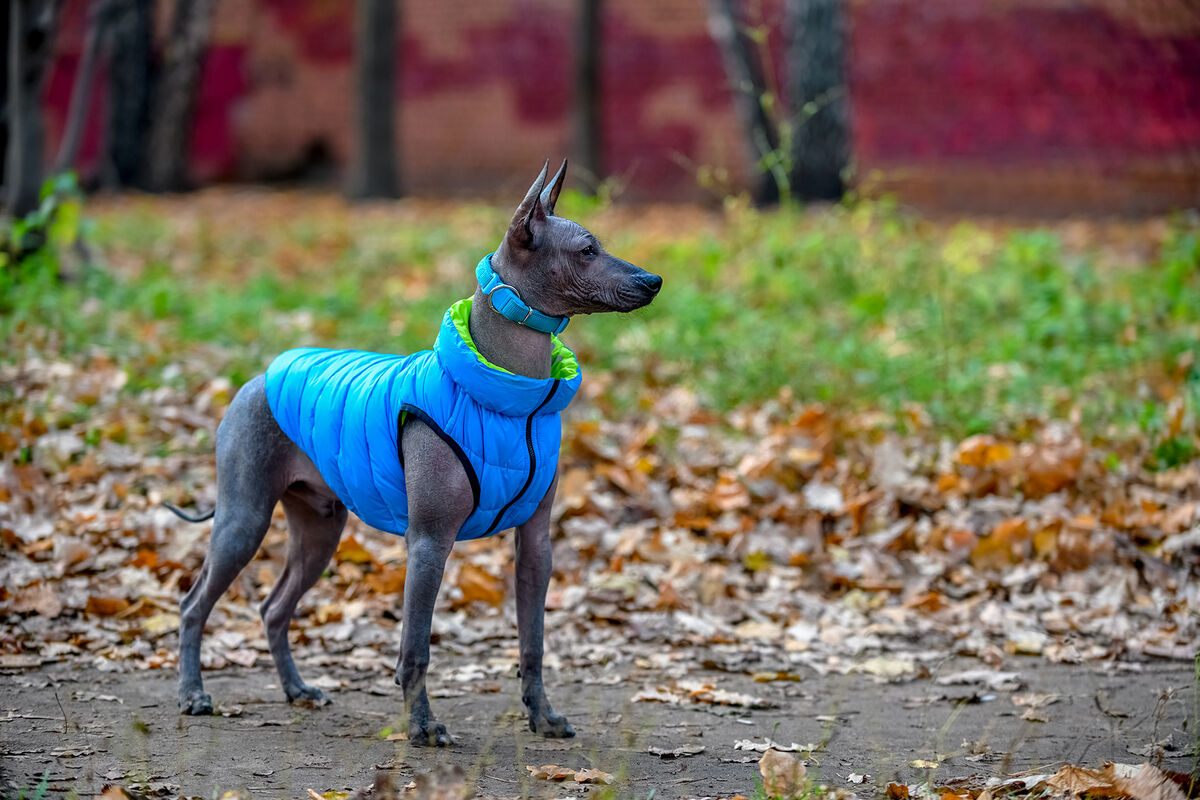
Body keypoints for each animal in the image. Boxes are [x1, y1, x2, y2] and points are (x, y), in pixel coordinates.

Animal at [168, 159, 662, 748]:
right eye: (587, 250)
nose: (653, 280)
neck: (508, 400)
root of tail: (256, 377)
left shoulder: (536, 547)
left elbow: (533, 645)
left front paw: (541, 717)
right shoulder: (428, 543)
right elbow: (417, 648)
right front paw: (423, 726)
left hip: (319, 532)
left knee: (273, 608)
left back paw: (296, 690)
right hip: (243, 521)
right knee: (194, 604)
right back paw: (193, 695)